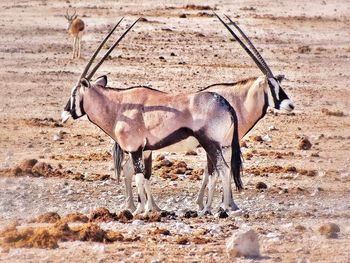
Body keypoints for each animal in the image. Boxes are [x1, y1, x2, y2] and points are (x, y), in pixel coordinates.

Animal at [61, 18, 243, 217]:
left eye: (73, 93)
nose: (64, 115)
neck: (119, 105)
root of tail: (225, 103)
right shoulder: (146, 150)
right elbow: (147, 177)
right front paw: (150, 208)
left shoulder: (134, 149)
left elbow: (139, 178)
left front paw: (139, 211)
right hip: (223, 146)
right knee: (218, 171)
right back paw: (213, 208)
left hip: (211, 144)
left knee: (223, 170)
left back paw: (220, 208)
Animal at [111, 12, 292, 214]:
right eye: (272, 87)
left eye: (279, 85)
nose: (290, 105)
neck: (236, 100)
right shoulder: (217, 144)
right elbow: (215, 172)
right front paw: (217, 204)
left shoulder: (223, 145)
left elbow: (215, 172)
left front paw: (215, 203)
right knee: (130, 170)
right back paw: (138, 206)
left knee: (131, 170)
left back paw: (142, 206)